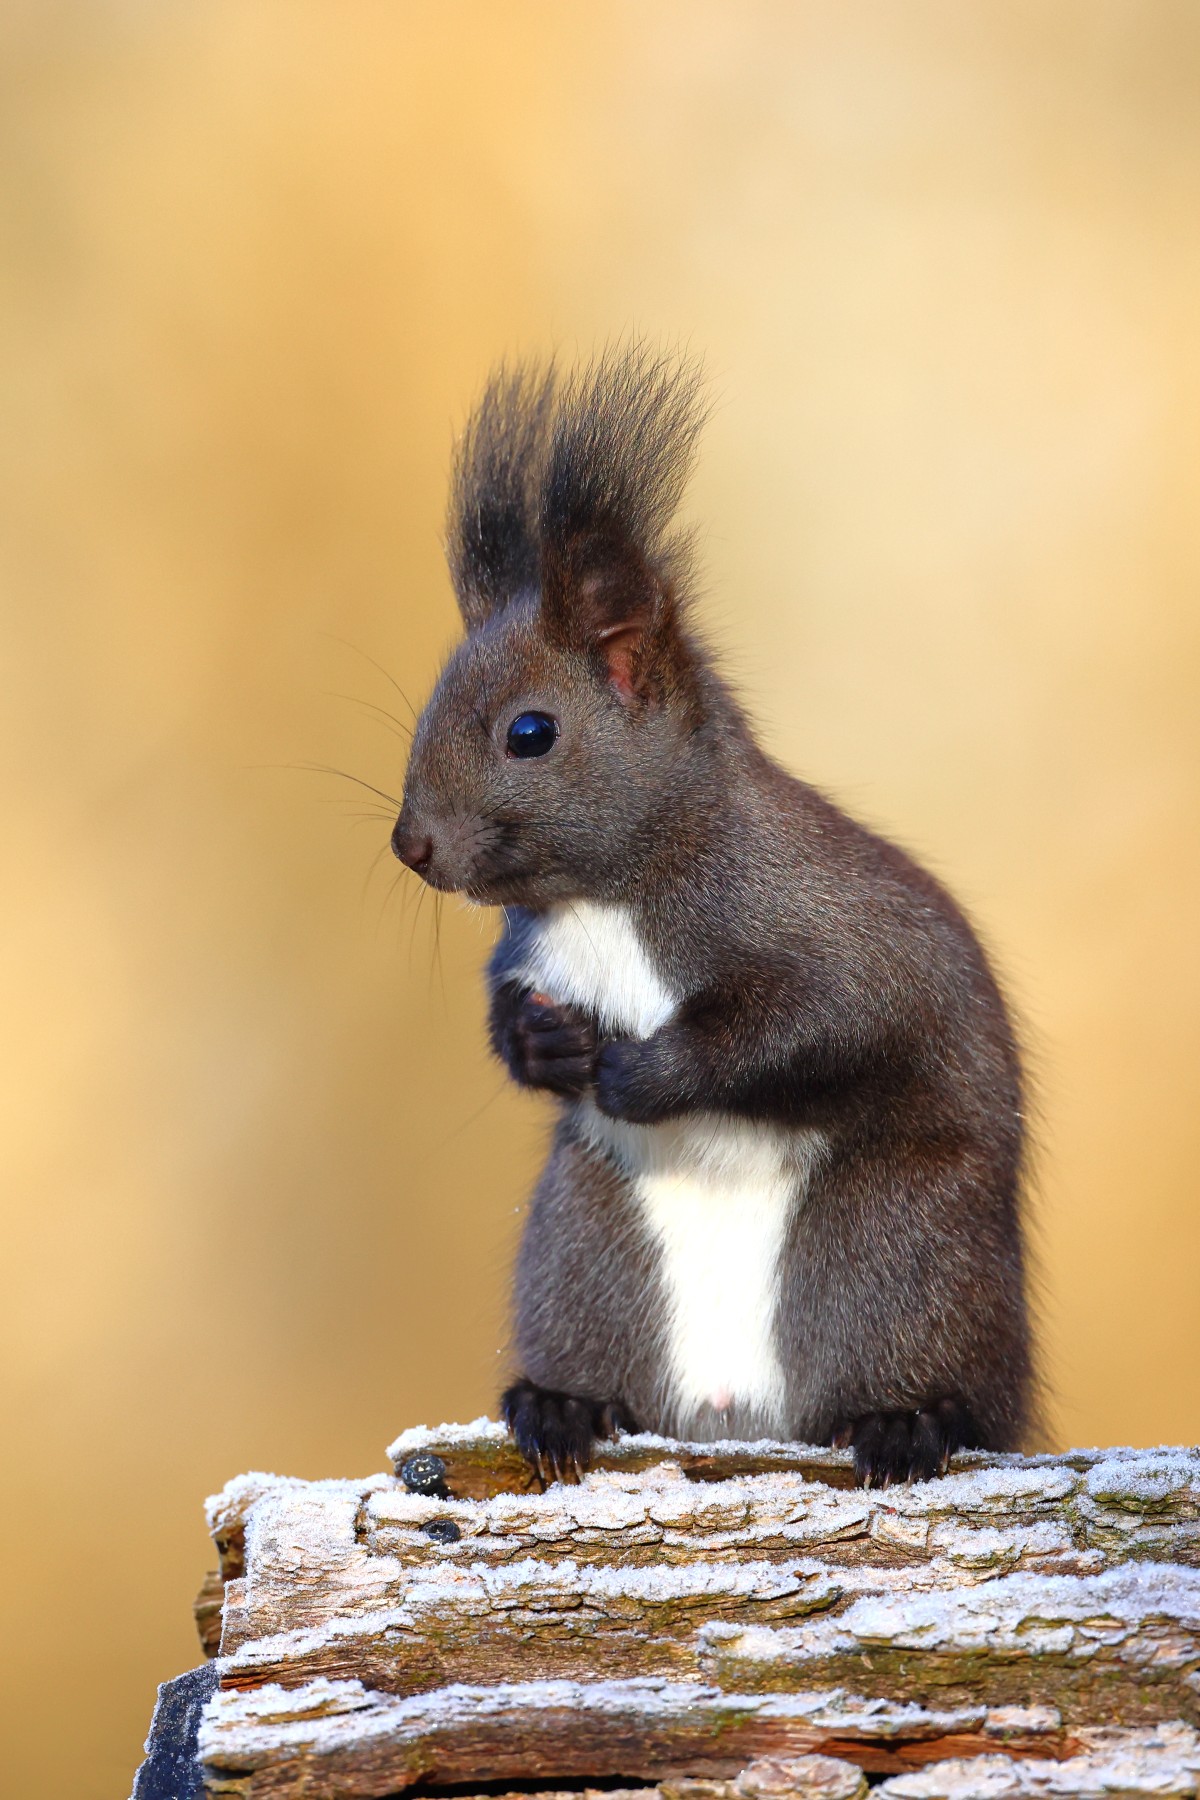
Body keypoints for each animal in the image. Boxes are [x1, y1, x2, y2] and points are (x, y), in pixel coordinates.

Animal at [391, 345, 1032, 1487]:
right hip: (586, 1250)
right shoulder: (527, 955)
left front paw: (642, 1072)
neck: (606, 895)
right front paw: (546, 1047)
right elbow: (506, 1016)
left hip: (896, 1246)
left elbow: (808, 1023)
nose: (409, 845)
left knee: (946, 1387)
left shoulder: (821, 928)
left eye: (529, 732)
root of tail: (736, 1412)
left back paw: (910, 1422)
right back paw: (559, 1403)